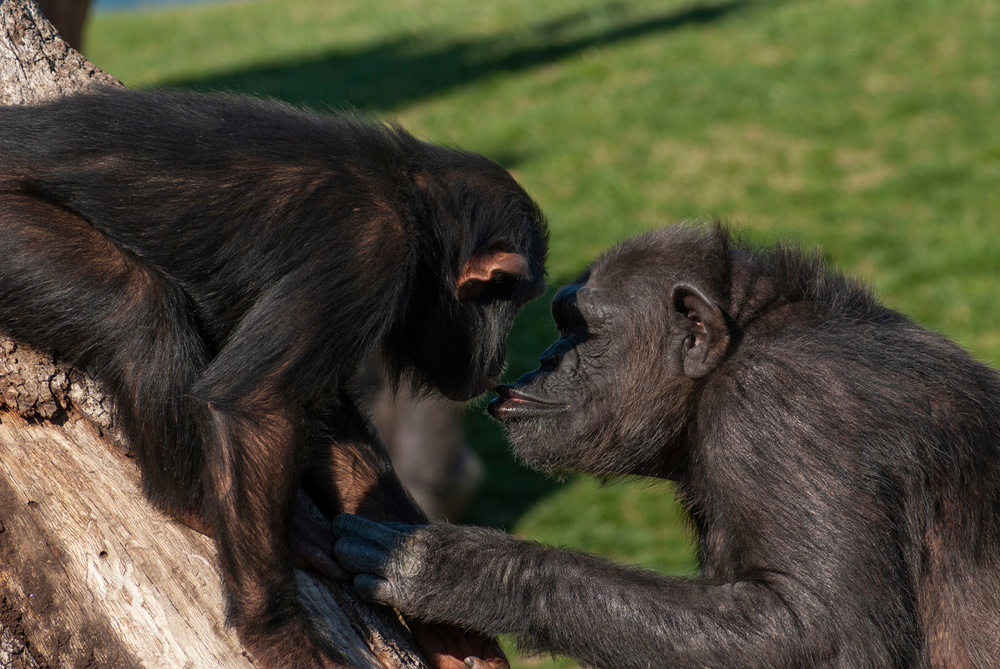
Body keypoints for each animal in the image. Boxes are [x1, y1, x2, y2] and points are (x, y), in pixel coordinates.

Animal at [0, 88, 548, 668]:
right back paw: (193, 501)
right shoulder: (370, 252)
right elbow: (258, 403)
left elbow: (322, 410)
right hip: (14, 236)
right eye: (520, 300)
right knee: (139, 311)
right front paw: (278, 634)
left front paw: (444, 622)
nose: (504, 355)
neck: (417, 213)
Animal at [334, 224, 1000, 668]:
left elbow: (820, 632)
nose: (545, 359)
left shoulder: (782, 413)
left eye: (581, 329)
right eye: (562, 325)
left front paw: (453, 566)